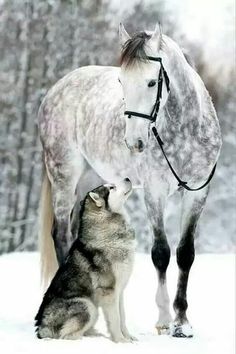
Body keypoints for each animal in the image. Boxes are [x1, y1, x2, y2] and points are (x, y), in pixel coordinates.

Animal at [34, 178, 136, 342]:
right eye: (111, 188)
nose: (127, 178)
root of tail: (41, 328)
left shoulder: (119, 291)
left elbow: (123, 318)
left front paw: (129, 338)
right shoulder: (108, 292)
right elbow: (115, 320)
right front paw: (121, 341)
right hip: (88, 306)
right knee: (67, 336)